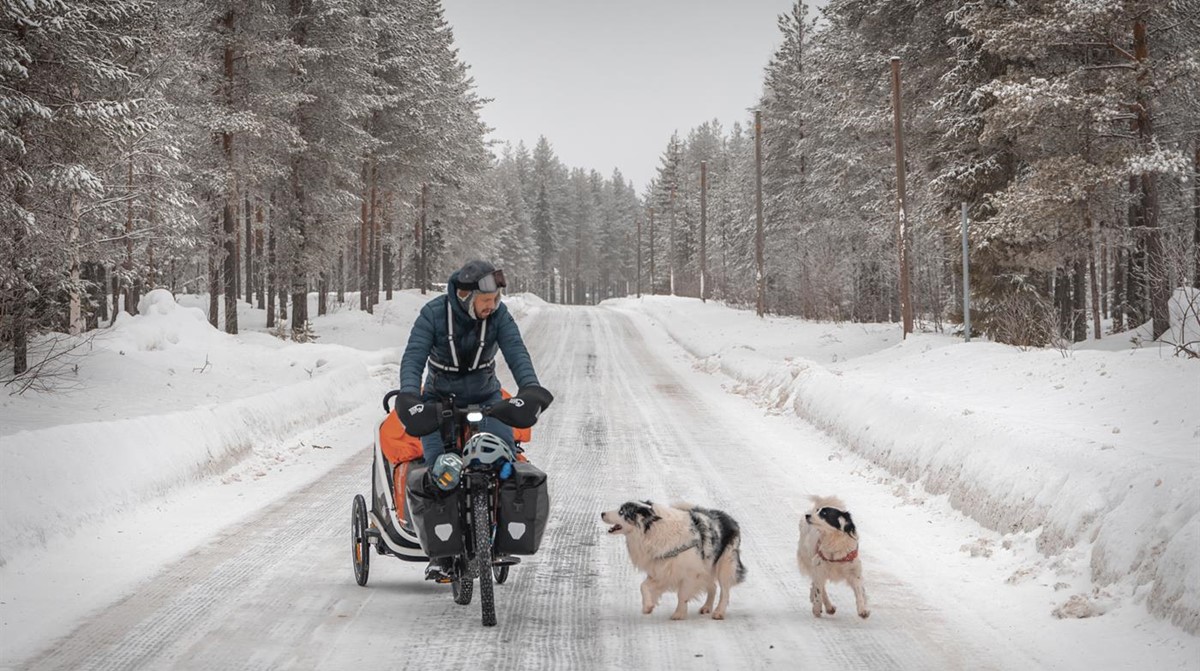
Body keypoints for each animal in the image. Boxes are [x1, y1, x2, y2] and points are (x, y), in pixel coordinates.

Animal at [604, 501, 744, 624]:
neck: (655, 530)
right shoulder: (662, 569)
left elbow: (682, 594)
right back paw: (707, 607)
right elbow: (643, 586)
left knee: (724, 591)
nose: (602, 513)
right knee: (713, 586)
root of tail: (729, 518)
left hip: (725, 564)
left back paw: (719, 612)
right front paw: (647, 606)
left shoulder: (691, 572)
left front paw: (679, 614)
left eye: (622, 512)